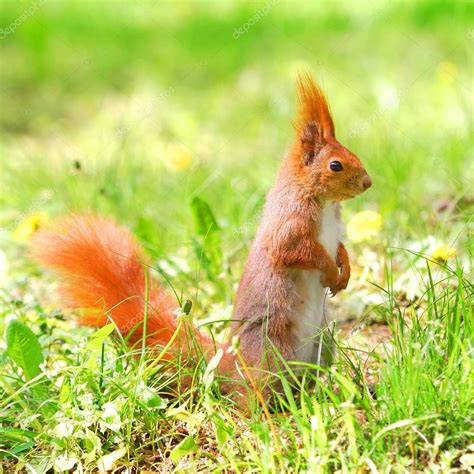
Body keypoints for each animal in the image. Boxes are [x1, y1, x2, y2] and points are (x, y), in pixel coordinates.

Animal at [32, 73, 370, 400]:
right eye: (335, 165)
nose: (368, 183)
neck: (323, 202)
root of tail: (226, 365)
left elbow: (340, 247)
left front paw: (344, 271)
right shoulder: (288, 227)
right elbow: (298, 252)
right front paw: (330, 270)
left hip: (324, 344)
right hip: (272, 351)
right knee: (251, 398)